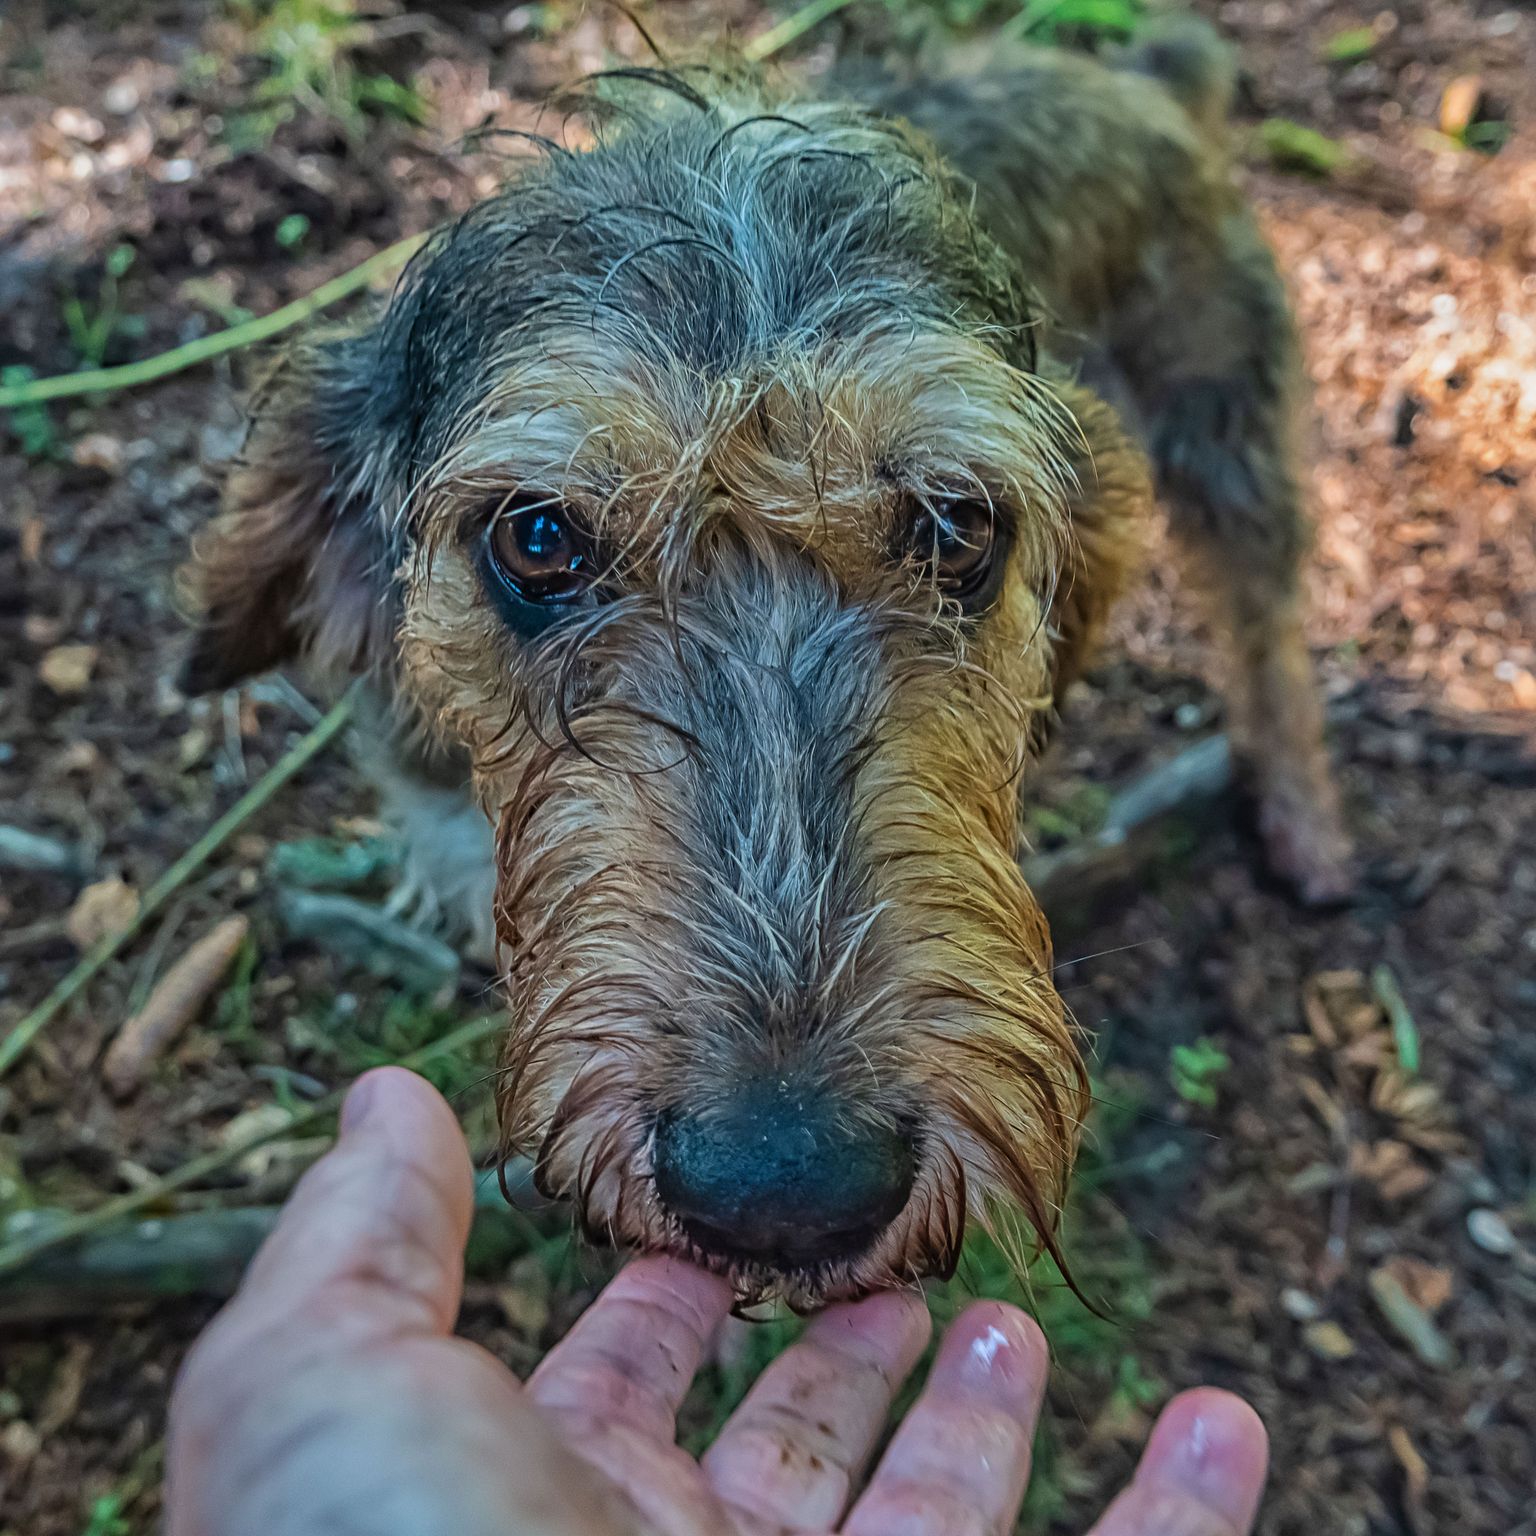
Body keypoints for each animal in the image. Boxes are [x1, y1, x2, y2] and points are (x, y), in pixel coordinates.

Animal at [185, 14, 1351, 1308]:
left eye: (959, 525)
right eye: (536, 538)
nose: (788, 1189)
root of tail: (1146, 82)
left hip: (1225, 433)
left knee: (1271, 627)